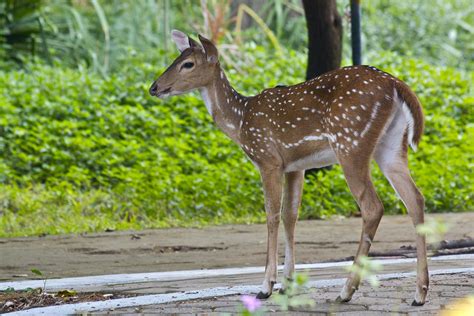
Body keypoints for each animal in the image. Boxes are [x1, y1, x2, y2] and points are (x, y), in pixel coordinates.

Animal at [151, 30, 430, 304]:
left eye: (188, 63)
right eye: (176, 58)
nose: (154, 87)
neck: (240, 122)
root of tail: (396, 85)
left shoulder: (268, 159)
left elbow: (272, 215)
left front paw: (267, 286)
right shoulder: (296, 166)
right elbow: (290, 215)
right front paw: (287, 284)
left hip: (351, 143)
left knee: (372, 207)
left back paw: (346, 290)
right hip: (391, 147)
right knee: (415, 198)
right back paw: (419, 293)